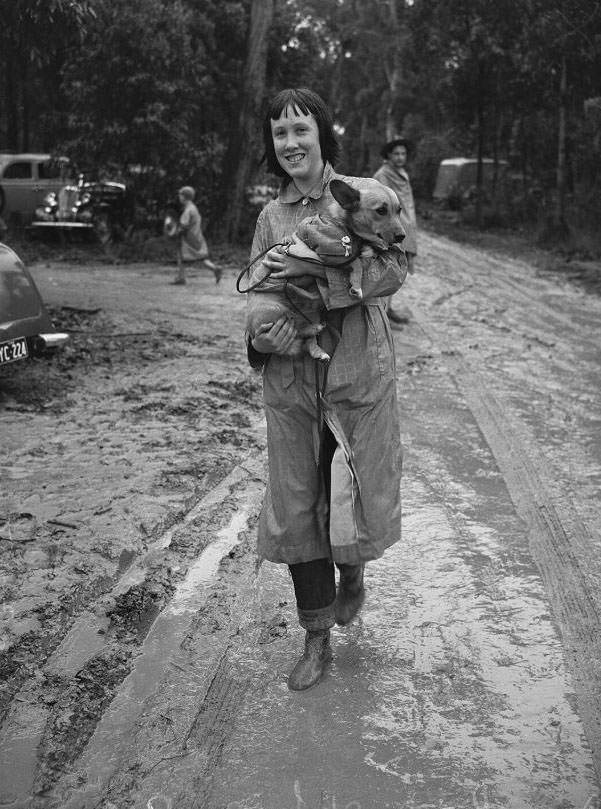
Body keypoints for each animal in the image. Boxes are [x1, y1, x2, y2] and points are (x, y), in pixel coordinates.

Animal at [246, 180, 406, 362]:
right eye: (381, 210)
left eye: (399, 210)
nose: (402, 236)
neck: (344, 224)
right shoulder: (332, 256)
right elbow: (357, 262)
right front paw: (356, 287)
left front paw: (374, 248)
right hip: (275, 310)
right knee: (296, 327)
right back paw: (314, 328)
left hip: (307, 315)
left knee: (306, 340)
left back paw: (318, 350)